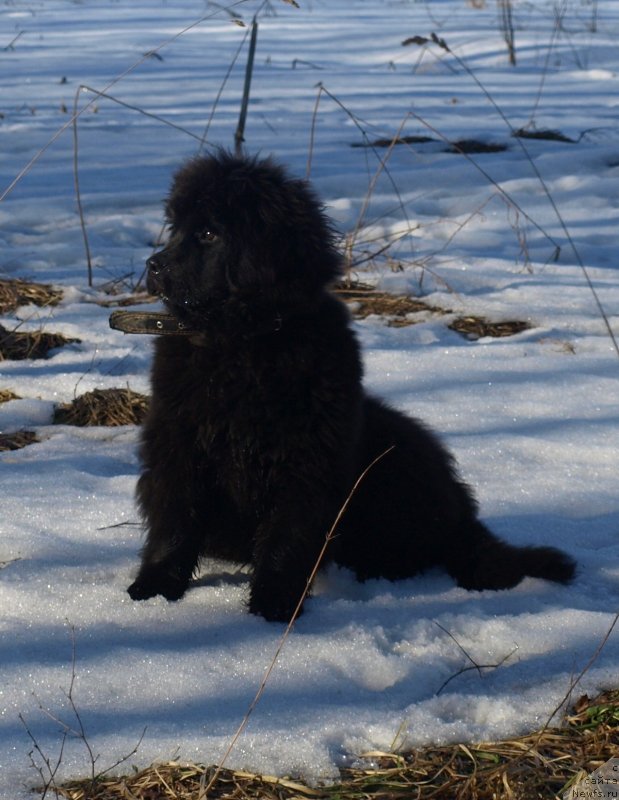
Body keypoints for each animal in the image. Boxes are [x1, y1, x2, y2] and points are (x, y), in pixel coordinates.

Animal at [128, 152, 580, 624]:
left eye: (208, 233)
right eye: (175, 228)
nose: (153, 265)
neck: (244, 342)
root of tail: (463, 517)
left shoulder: (307, 457)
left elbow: (287, 538)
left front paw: (275, 605)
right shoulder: (178, 444)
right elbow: (173, 523)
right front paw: (153, 589)